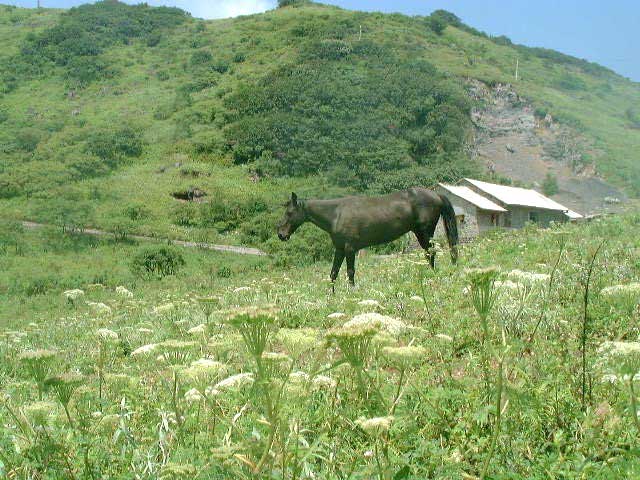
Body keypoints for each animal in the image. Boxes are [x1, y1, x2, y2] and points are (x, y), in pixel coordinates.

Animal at [278, 187, 458, 284]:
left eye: (289, 213)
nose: (281, 234)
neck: (336, 214)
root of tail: (436, 195)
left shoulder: (350, 249)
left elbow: (350, 272)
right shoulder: (340, 249)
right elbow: (333, 273)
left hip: (424, 233)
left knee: (431, 253)